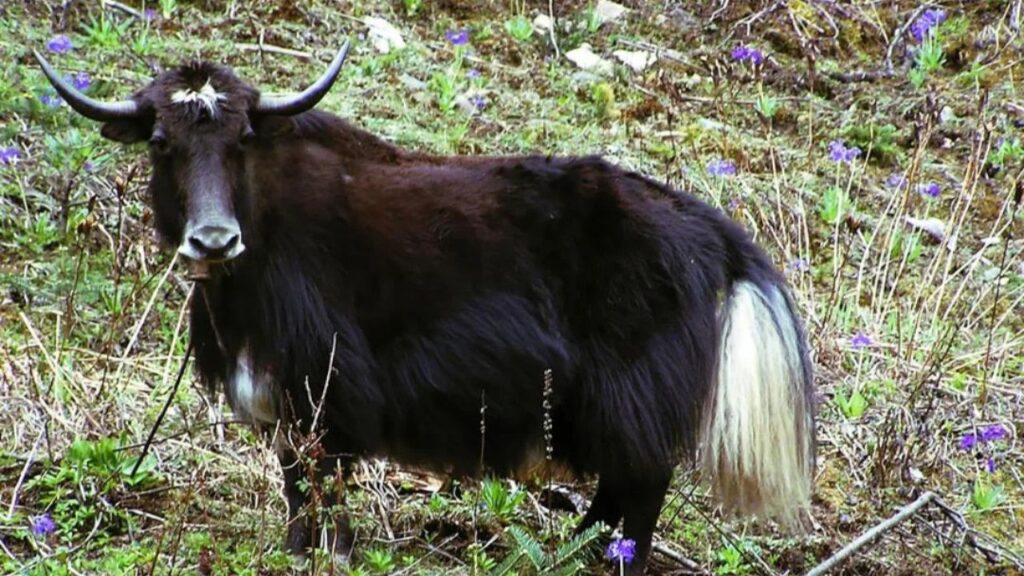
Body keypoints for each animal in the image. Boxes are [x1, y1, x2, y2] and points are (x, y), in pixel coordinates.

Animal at [36, 42, 815, 574]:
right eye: (161, 141)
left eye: (242, 140)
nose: (213, 238)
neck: (260, 242)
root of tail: (714, 233)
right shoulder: (287, 400)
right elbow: (296, 484)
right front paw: (297, 551)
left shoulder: (328, 386)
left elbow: (324, 484)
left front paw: (332, 554)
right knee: (618, 493)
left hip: (629, 400)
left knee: (641, 488)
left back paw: (602, 561)